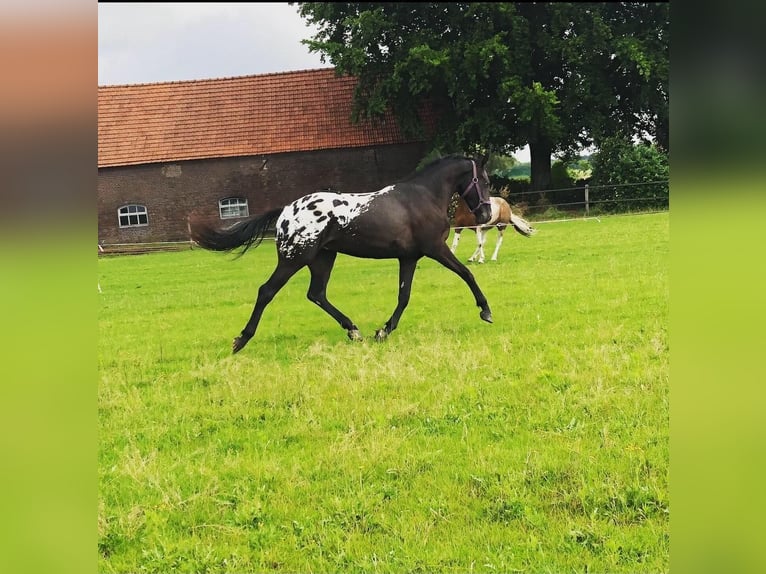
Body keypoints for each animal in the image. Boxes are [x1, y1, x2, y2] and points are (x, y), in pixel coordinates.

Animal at [189, 155, 495, 354]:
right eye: (484, 180)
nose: (485, 214)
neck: (423, 197)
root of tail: (286, 210)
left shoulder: (409, 258)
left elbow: (404, 296)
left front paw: (382, 331)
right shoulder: (435, 249)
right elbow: (467, 273)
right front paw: (486, 311)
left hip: (323, 258)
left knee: (316, 294)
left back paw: (354, 330)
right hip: (295, 259)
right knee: (267, 291)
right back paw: (241, 340)